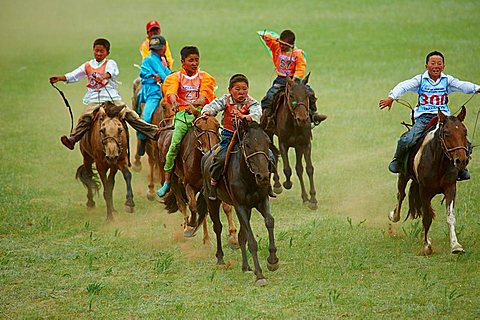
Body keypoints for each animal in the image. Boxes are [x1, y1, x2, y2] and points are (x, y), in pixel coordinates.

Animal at [158, 104, 239, 245]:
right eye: (198, 127)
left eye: (217, 126)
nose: (210, 149)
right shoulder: (189, 185)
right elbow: (193, 206)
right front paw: (190, 225)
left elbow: (226, 206)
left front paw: (233, 236)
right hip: (173, 177)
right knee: (181, 203)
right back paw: (187, 226)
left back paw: (206, 239)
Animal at [194, 120, 278, 288]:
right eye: (247, 144)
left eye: (268, 142)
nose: (263, 176)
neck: (249, 179)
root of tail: (205, 156)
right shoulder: (240, 206)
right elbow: (250, 240)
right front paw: (259, 276)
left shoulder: (260, 201)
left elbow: (269, 221)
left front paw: (272, 261)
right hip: (212, 202)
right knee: (218, 227)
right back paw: (220, 258)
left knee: (240, 235)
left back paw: (245, 267)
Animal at [266, 73, 318, 209]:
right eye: (291, 95)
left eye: (308, 96)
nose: (303, 118)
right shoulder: (283, 143)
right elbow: (287, 169)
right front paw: (286, 184)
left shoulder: (305, 143)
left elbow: (308, 168)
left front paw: (312, 200)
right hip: (269, 133)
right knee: (273, 154)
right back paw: (277, 184)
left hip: (298, 146)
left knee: (299, 169)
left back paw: (305, 198)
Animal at [390, 107, 468, 255]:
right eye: (446, 133)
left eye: (464, 132)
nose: (461, 161)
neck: (438, 162)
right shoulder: (424, 190)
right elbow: (427, 217)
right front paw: (427, 246)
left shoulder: (450, 187)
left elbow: (450, 216)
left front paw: (456, 245)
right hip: (403, 176)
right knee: (400, 195)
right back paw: (393, 217)